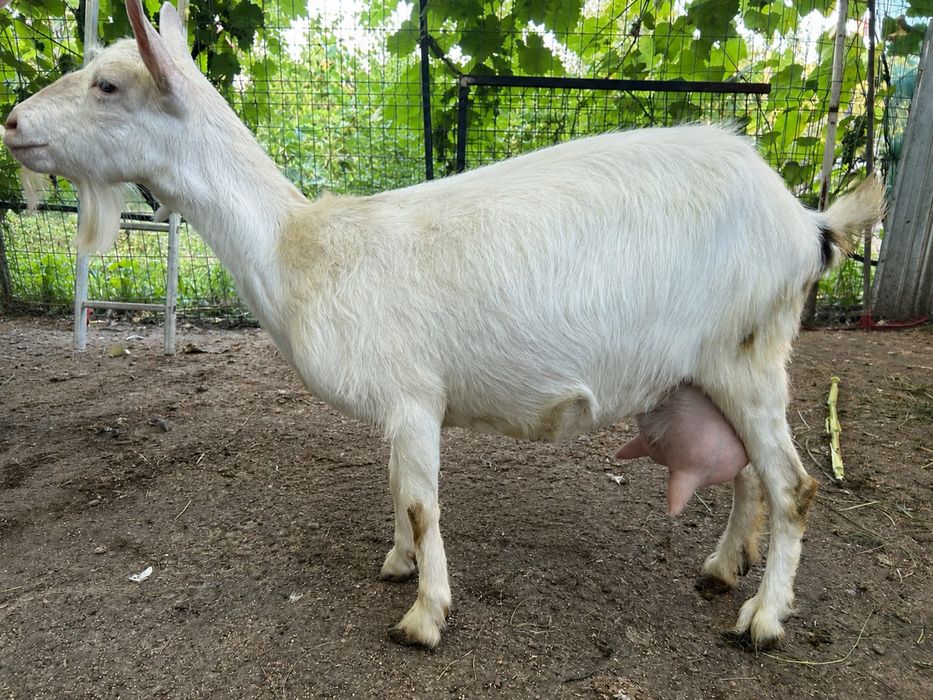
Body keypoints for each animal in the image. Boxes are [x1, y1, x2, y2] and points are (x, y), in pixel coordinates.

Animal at [3, 0, 885, 650]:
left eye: (108, 85)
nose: (12, 123)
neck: (297, 248)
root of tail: (806, 221)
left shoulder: (412, 396)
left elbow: (423, 503)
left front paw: (423, 617)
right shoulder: (398, 408)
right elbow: (398, 489)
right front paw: (397, 563)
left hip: (748, 356)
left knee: (793, 486)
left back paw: (762, 619)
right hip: (713, 369)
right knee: (745, 475)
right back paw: (721, 567)